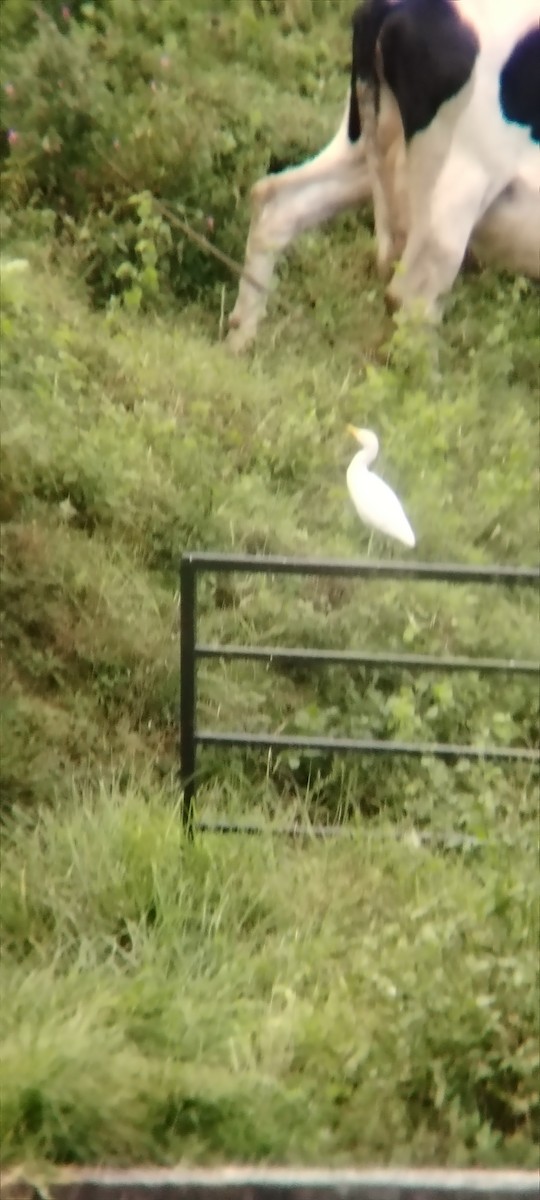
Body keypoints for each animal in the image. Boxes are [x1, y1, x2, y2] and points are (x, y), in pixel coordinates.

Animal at [227, 0, 540, 351]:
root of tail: (391, 6)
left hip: (364, 146)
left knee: (278, 200)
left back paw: (240, 341)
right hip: (455, 191)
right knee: (410, 295)